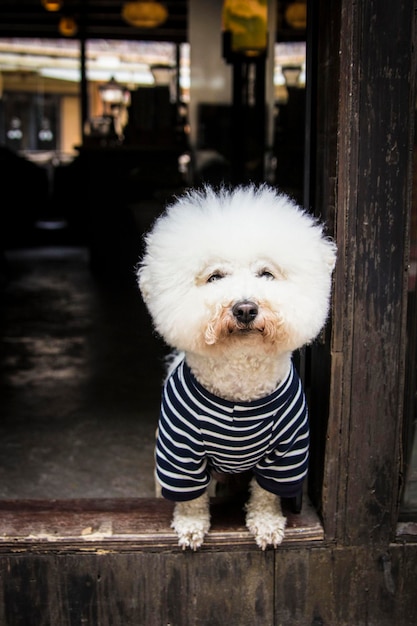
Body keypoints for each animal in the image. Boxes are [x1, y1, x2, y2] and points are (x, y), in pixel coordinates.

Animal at [138, 183, 336, 548]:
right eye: (215, 276)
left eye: (266, 274)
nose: (245, 308)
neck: (239, 389)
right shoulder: (180, 450)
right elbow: (190, 498)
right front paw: (190, 525)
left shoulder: (286, 452)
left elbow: (267, 494)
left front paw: (267, 524)